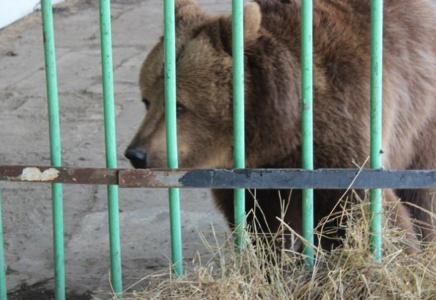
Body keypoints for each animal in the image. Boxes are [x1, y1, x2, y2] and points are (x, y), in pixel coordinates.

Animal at [125, 0, 436, 253]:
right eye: (146, 100)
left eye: (179, 106)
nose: (136, 154)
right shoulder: (252, 175)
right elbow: (260, 221)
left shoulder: (340, 131)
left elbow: (361, 202)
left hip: (421, 117)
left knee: (420, 191)